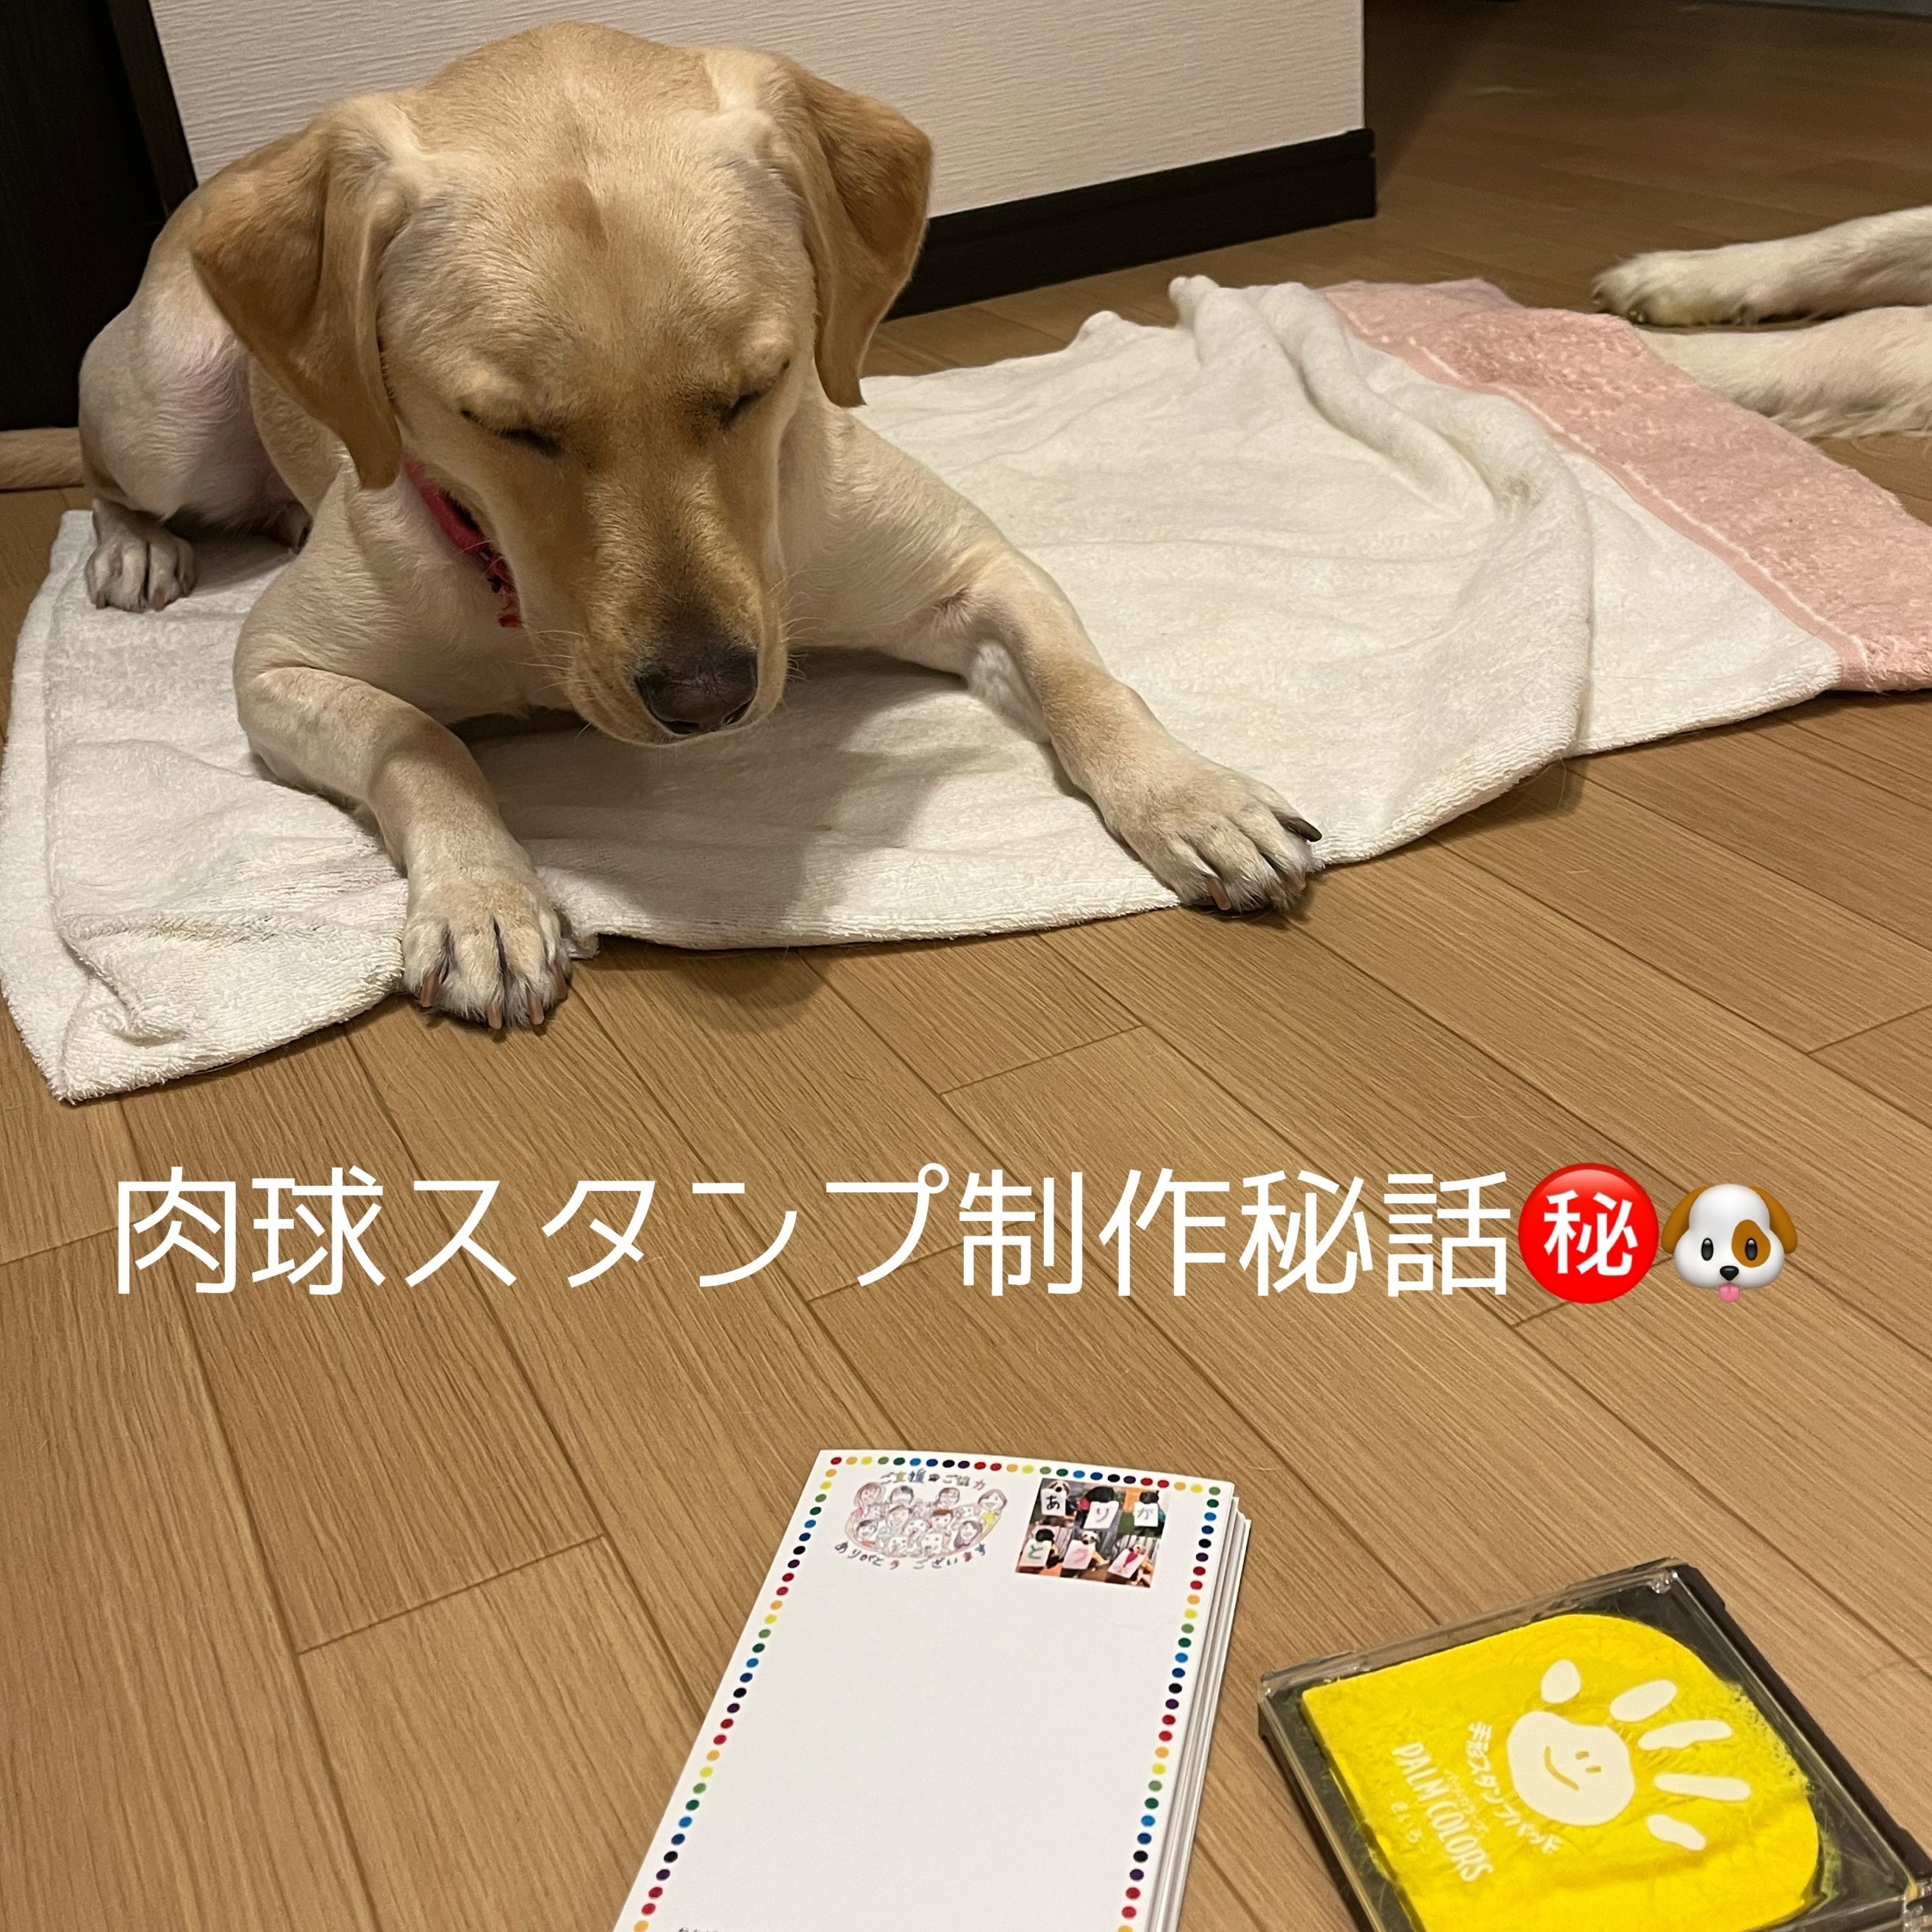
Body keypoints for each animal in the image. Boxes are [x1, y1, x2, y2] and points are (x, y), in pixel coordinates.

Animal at [78, 25, 1318, 1028]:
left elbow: (1082, 680)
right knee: (107, 467)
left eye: (756, 387)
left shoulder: (976, 569)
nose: (709, 697)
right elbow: (418, 742)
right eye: (506, 428)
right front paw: (485, 899)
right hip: (160, 403)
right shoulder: (277, 668)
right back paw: (135, 546)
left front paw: (1190, 796)